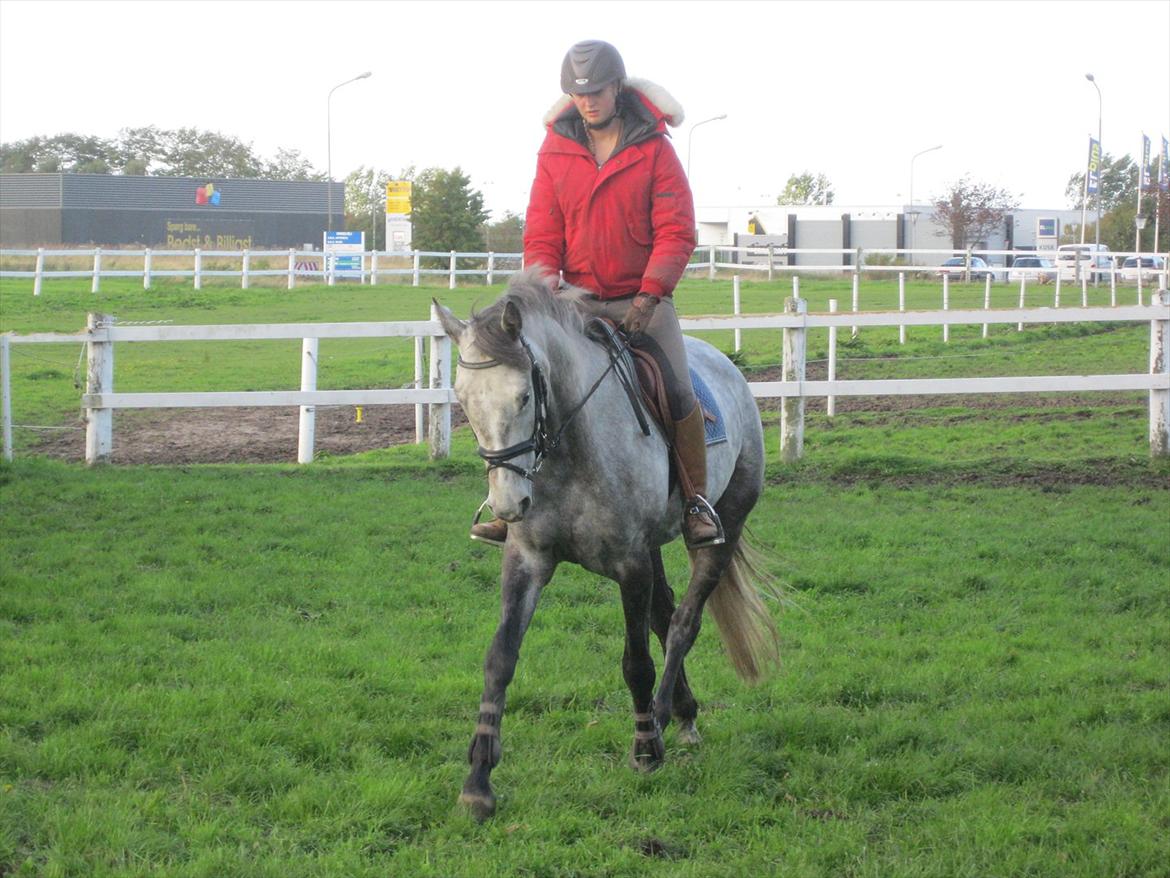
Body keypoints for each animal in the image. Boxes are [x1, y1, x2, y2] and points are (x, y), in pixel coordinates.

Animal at [435, 271, 781, 824]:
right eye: (464, 402)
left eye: (523, 397)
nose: (508, 505)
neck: (570, 447)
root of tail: (726, 366)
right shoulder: (527, 559)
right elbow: (500, 658)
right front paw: (479, 781)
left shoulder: (630, 565)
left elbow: (635, 662)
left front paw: (644, 750)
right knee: (666, 616)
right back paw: (681, 712)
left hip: (722, 528)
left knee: (683, 624)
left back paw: (662, 719)